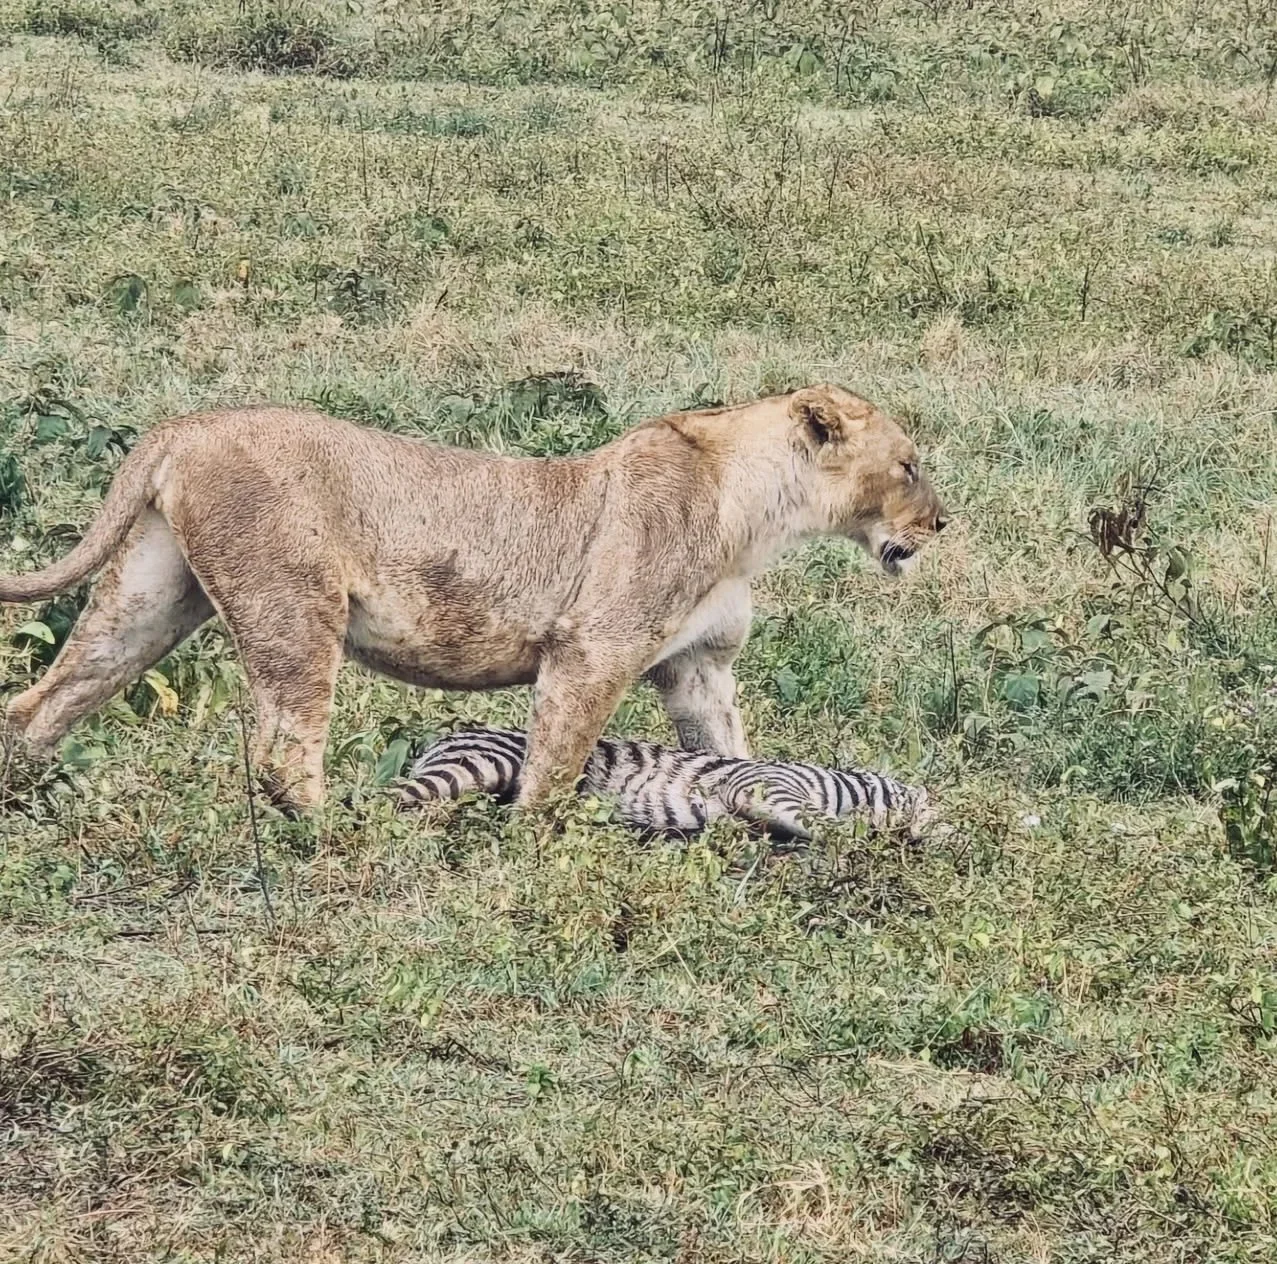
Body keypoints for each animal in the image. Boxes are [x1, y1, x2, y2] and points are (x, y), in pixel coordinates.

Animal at [0, 384, 947, 813]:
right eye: (907, 464)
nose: (943, 520)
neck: (756, 516)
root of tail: (186, 425)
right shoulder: (590, 650)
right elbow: (554, 767)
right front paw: (530, 849)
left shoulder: (698, 668)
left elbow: (730, 750)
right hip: (294, 608)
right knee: (283, 752)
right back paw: (339, 833)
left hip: (153, 598)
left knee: (42, 700)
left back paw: (27, 796)